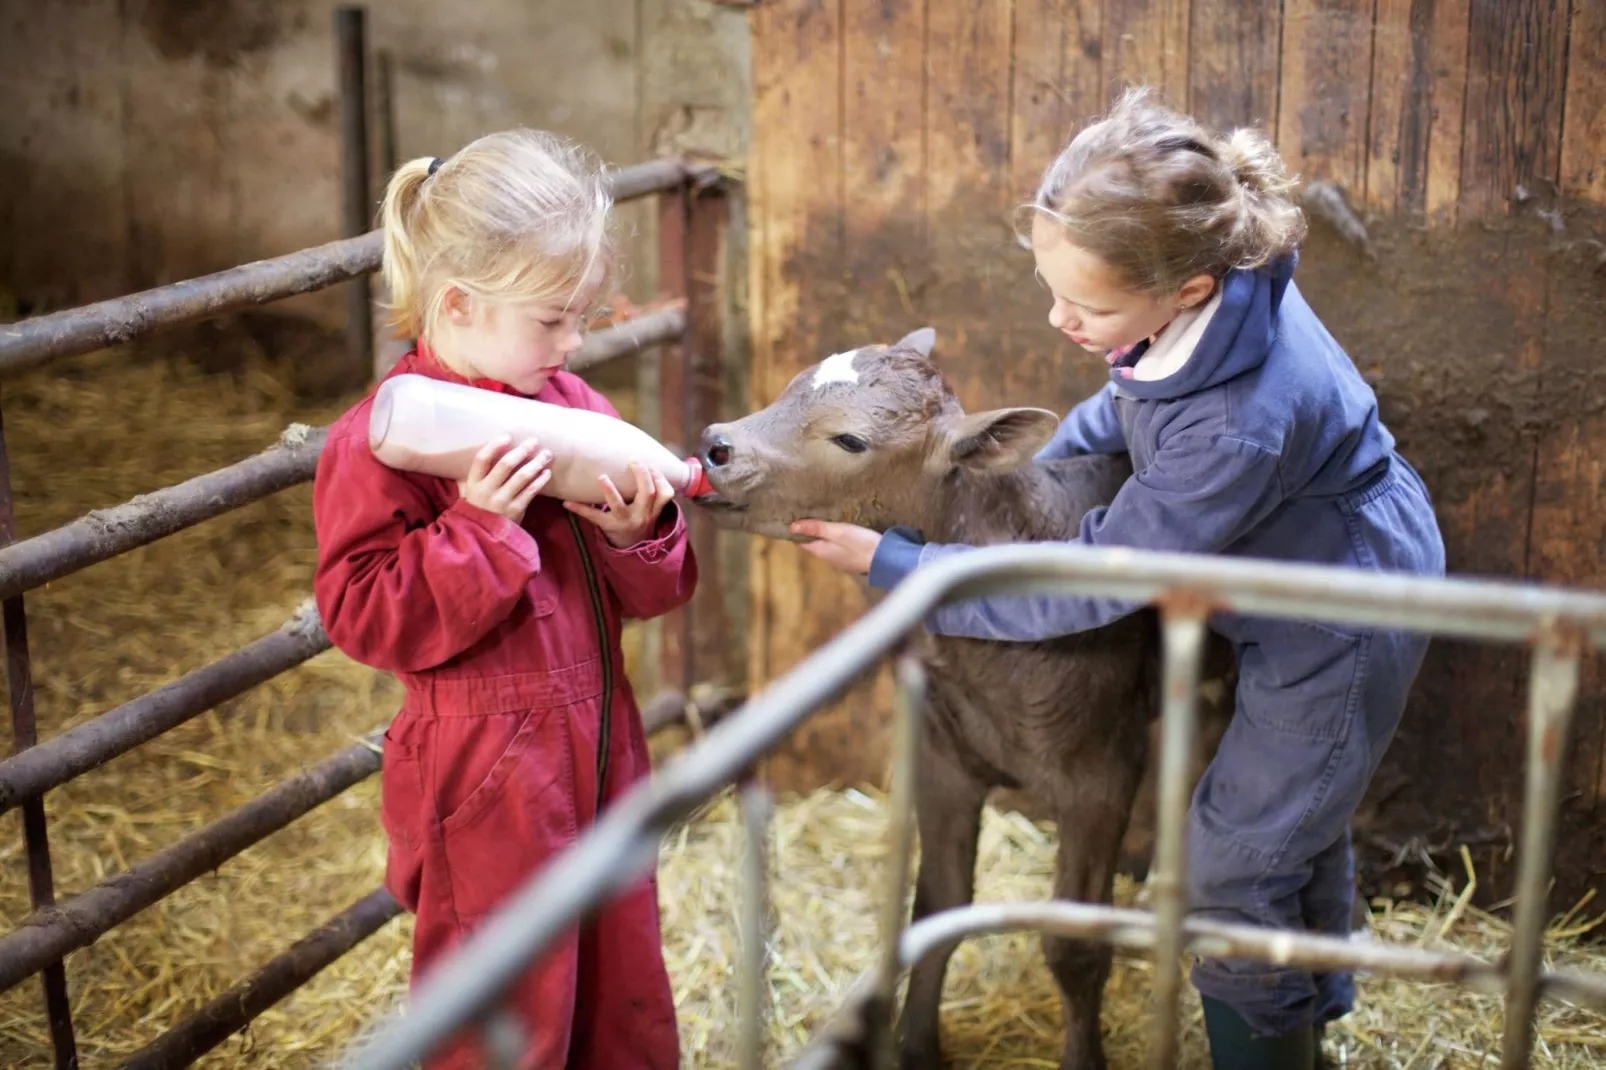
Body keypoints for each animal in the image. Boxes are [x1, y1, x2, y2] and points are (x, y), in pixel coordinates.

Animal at [690, 329, 1226, 1060]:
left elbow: (1073, 947)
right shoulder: (945, 756)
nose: (717, 444)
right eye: (791, 385)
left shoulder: (1101, 774)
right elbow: (937, 906)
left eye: (850, 440)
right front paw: (914, 1045)